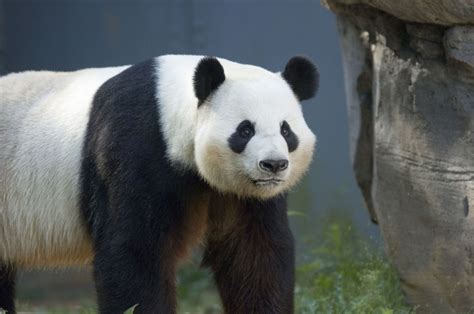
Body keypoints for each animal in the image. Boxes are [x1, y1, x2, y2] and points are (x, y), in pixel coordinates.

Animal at [0, 55, 318, 312]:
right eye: (245, 130)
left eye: (286, 130)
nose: (273, 165)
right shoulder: (135, 148)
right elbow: (134, 253)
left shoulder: (242, 194)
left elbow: (253, 252)